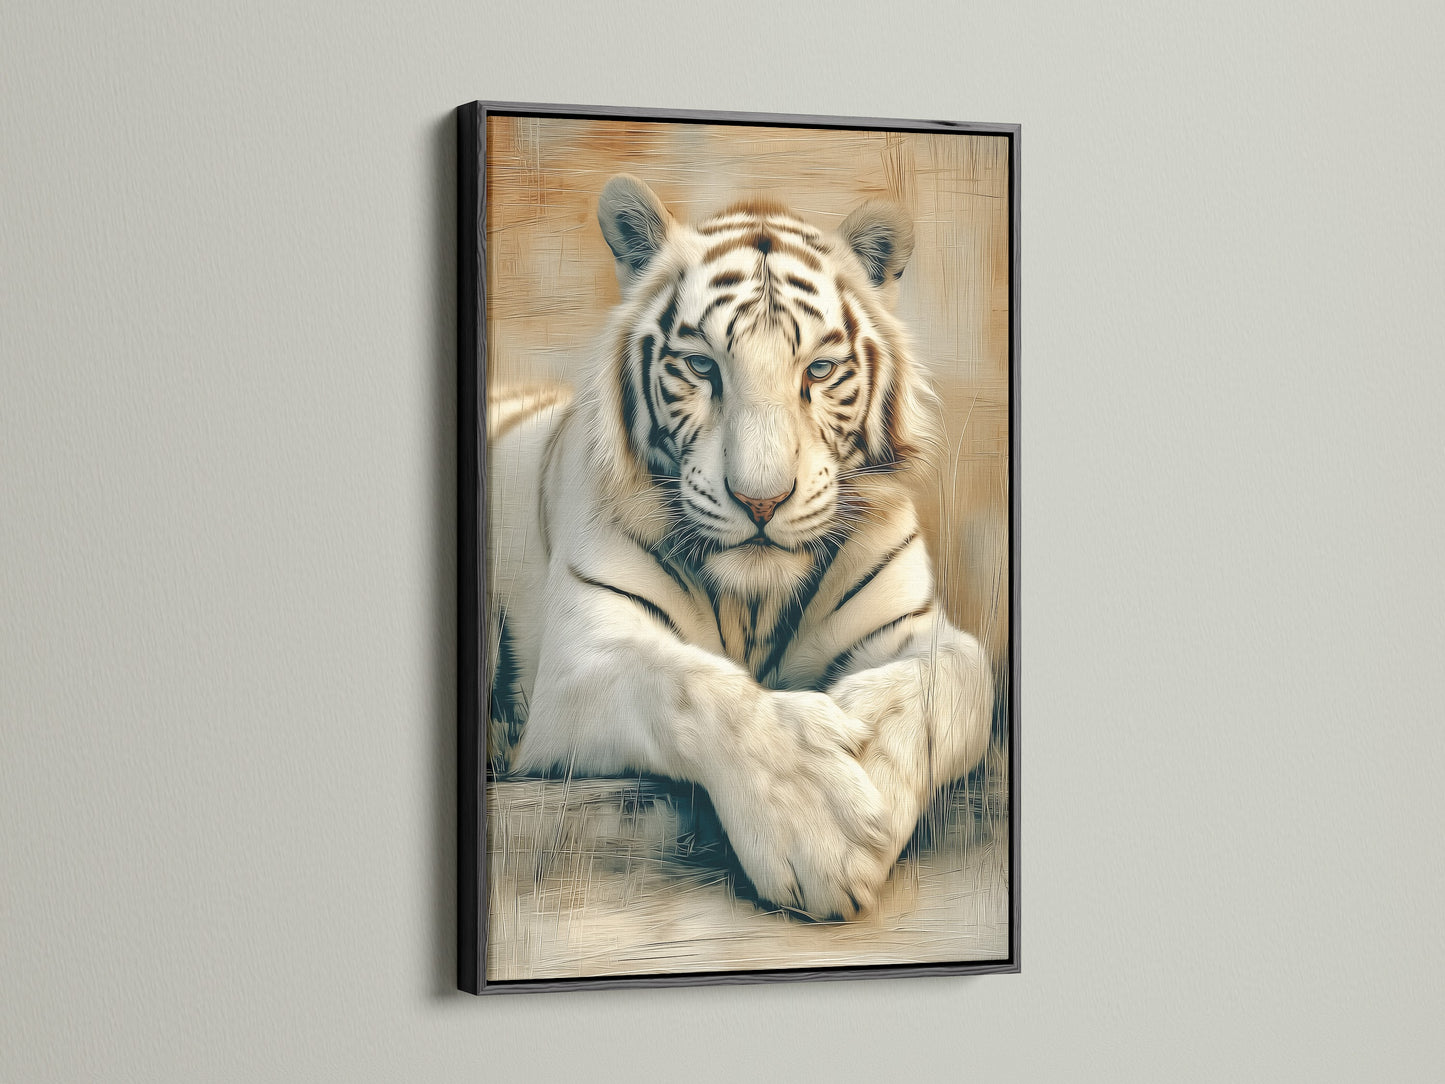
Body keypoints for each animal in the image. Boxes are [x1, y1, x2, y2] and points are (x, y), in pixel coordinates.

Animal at [486, 175, 994, 921]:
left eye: (819, 369)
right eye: (701, 366)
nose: (761, 501)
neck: (753, 600)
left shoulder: (915, 629)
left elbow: (957, 679)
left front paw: (869, 754)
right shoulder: (581, 662)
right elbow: (689, 684)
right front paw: (821, 824)